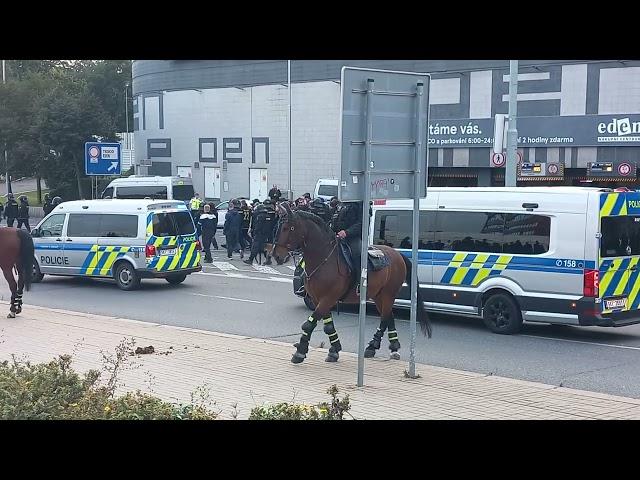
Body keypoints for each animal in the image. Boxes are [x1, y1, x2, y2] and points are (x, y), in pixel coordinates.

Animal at [270, 202, 430, 364]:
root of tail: (398, 254)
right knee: (389, 316)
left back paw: (374, 345)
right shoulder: (318, 299)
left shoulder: (328, 299)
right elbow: (328, 326)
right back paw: (391, 347)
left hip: (388, 294)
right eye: (278, 226)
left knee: (385, 318)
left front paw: (300, 352)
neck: (324, 258)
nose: (276, 255)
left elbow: (309, 324)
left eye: (287, 228)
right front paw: (334, 350)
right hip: (378, 295)